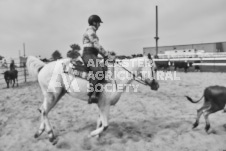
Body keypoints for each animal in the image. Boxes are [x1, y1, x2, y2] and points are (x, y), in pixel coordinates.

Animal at [26, 55, 159, 144]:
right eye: (155, 68)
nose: (156, 85)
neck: (116, 76)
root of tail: (43, 67)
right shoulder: (104, 104)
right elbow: (105, 125)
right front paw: (92, 134)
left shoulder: (102, 104)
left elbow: (100, 122)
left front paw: (96, 136)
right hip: (52, 95)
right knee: (44, 111)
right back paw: (50, 135)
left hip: (55, 95)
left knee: (42, 109)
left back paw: (40, 132)